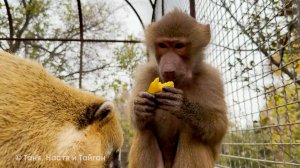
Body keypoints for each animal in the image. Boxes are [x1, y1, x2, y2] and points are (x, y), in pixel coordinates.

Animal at [127, 9, 229, 168]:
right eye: (163, 45)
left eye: (179, 46)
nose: (168, 66)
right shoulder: (147, 73)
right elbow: (139, 123)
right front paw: (140, 106)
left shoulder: (211, 79)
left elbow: (218, 126)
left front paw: (183, 106)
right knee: (145, 131)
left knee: (190, 133)